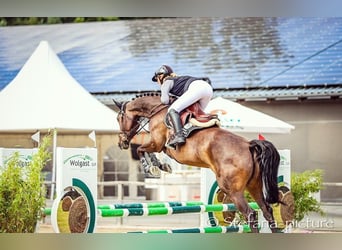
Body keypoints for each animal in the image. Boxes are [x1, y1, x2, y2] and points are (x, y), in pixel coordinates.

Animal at [113, 92, 280, 232]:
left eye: (119, 118)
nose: (122, 143)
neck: (157, 111)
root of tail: (249, 145)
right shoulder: (160, 146)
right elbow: (147, 152)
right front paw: (162, 166)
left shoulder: (157, 143)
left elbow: (141, 150)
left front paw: (152, 168)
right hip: (254, 185)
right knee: (267, 210)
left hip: (232, 189)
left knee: (250, 214)